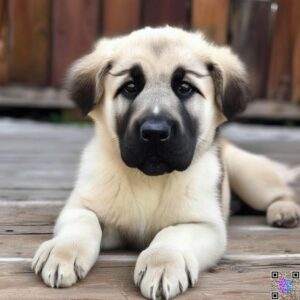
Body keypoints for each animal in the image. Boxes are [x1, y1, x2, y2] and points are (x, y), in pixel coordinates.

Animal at [31, 27, 300, 298]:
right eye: (130, 87)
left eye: (185, 88)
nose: (154, 132)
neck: (150, 180)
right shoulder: (80, 206)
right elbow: (84, 222)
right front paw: (62, 251)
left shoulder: (205, 225)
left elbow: (173, 233)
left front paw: (162, 265)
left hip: (248, 174)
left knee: (281, 192)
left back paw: (284, 211)